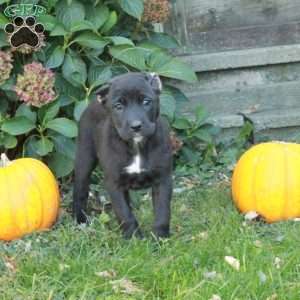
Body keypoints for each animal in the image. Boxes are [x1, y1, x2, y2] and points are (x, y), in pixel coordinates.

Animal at [72, 72, 173, 239]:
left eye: (146, 101)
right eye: (118, 106)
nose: (136, 126)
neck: (136, 146)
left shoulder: (163, 179)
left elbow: (162, 212)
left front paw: (159, 237)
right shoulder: (115, 183)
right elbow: (124, 213)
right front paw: (134, 238)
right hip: (84, 159)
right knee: (80, 191)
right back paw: (80, 221)